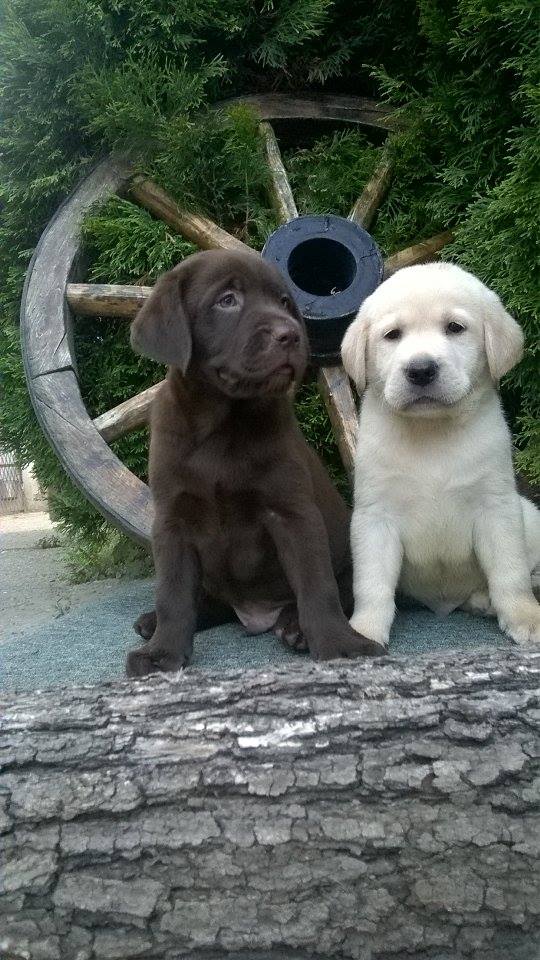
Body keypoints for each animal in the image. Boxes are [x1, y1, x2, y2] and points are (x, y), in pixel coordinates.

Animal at [342, 262, 540, 648]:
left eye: (454, 328)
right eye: (393, 335)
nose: (420, 370)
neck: (431, 432)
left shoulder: (497, 507)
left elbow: (511, 573)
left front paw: (526, 616)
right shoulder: (375, 517)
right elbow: (372, 584)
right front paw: (364, 631)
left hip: (531, 517)